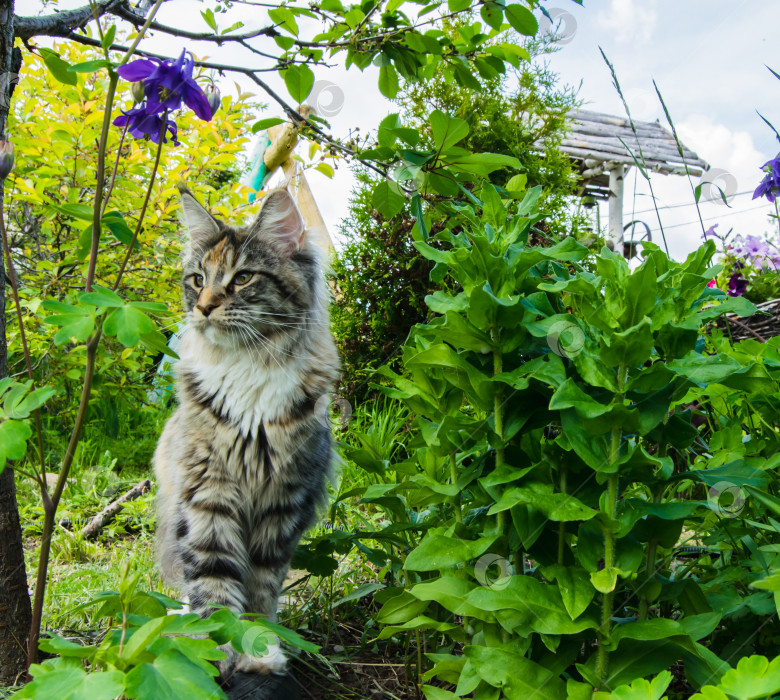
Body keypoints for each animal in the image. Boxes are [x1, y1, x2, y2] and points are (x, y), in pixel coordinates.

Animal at [154, 186, 340, 680]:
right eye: (197, 279)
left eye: (242, 278)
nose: (203, 307)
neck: (247, 369)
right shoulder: (207, 497)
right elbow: (213, 587)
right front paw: (214, 652)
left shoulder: (283, 503)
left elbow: (259, 590)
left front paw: (259, 651)